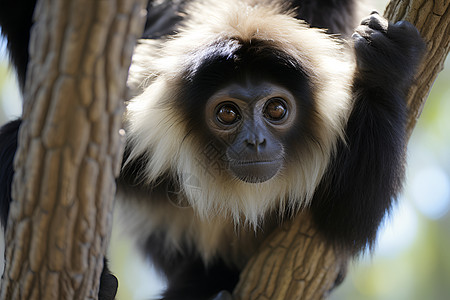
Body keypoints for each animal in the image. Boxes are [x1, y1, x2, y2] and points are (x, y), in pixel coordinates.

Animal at [0, 0, 426, 300]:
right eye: (227, 113)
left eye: (276, 109)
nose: (255, 141)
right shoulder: (133, 142)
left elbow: (342, 222)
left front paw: (384, 70)